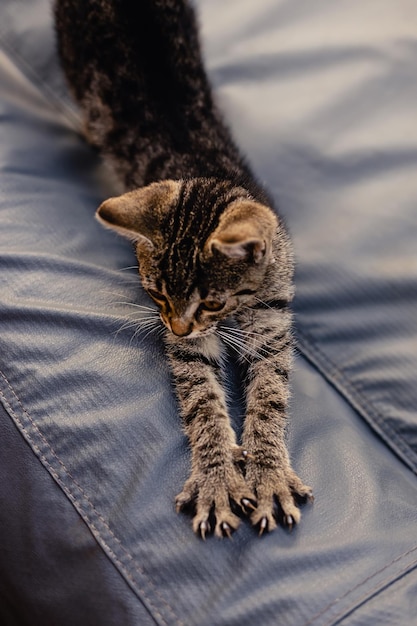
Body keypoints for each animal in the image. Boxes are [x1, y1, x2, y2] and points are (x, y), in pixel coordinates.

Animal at [54, 0, 312, 536]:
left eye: (212, 301)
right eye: (156, 295)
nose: (176, 325)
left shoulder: (273, 324)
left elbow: (270, 398)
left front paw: (269, 475)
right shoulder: (188, 347)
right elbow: (202, 402)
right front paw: (218, 480)